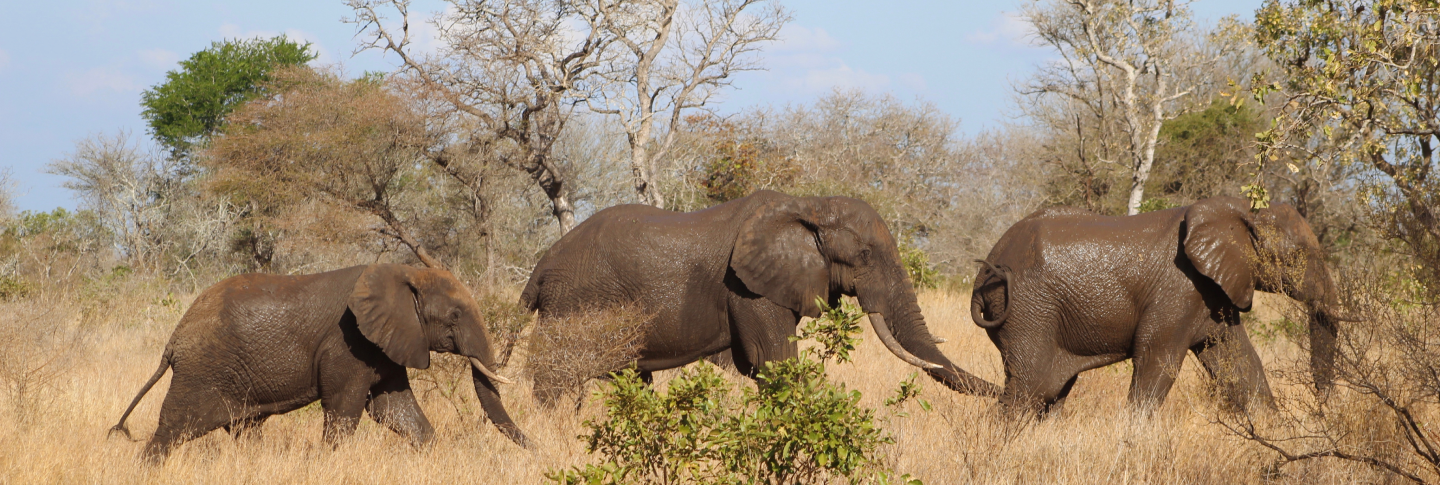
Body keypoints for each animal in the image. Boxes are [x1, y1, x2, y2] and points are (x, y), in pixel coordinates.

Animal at [110, 261, 529, 457]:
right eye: (455, 316)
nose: (536, 449)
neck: (404, 270)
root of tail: (173, 340)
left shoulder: (384, 343)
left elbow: (394, 408)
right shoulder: (348, 344)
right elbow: (345, 409)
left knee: (244, 431)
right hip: (202, 370)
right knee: (171, 431)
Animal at [521, 188, 1002, 400]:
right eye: (865, 255)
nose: (1006, 394)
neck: (810, 205)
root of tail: (540, 268)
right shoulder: (749, 290)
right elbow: (774, 361)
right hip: (574, 304)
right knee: (558, 379)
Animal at [973, 194, 1353, 414]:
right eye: (1298, 257)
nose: (1323, 409)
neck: (1243, 211)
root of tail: (985, 269)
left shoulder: (1213, 292)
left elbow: (1238, 361)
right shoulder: (1179, 289)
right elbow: (1158, 358)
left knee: (1051, 393)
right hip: (1026, 311)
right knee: (1030, 389)